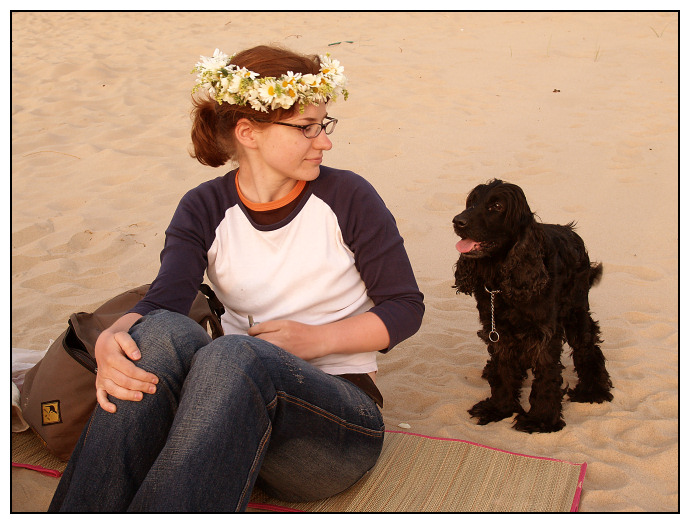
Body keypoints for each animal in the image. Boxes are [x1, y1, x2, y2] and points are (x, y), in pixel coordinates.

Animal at [452, 179, 613, 433]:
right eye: (472, 202)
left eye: (496, 206)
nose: (458, 221)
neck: (502, 280)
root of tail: (572, 232)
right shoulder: (498, 330)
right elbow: (503, 370)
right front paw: (499, 408)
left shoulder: (544, 334)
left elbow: (546, 376)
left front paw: (541, 419)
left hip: (576, 310)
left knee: (587, 346)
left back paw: (593, 390)